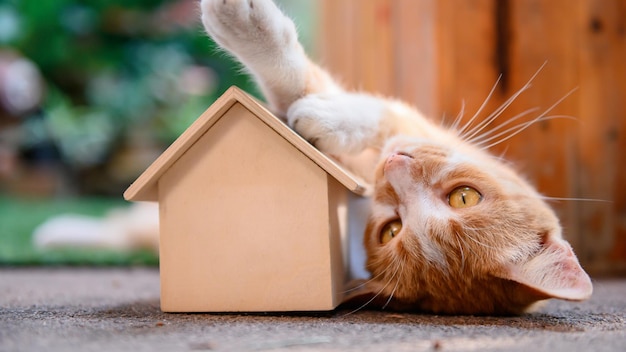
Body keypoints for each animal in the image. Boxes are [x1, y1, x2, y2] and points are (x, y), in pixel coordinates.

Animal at [34, 0, 588, 314]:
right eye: (465, 197)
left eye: (391, 231)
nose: (393, 169)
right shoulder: (408, 132)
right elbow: (360, 109)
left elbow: (307, 92)